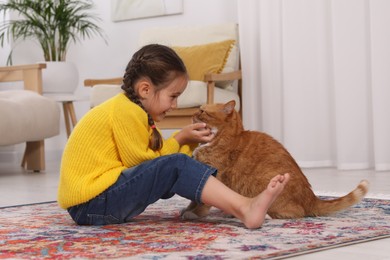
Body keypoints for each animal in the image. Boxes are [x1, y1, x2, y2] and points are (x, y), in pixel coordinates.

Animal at [181, 99, 368, 219]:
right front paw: (187, 210)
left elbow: (201, 202)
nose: (192, 114)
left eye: (202, 111)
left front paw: (195, 214)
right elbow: (193, 198)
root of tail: (311, 198)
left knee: (295, 213)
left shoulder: (214, 174)